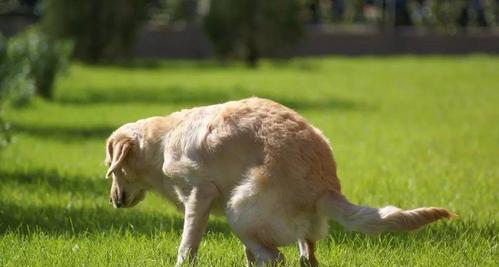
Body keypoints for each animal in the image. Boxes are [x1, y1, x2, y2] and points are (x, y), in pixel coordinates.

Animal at [105, 97, 458, 266]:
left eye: (112, 167)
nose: (113, 201)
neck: (162, 142)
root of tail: (326, 185)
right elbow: (246, 256)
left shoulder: (200, 196)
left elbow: (186, 247)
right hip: (272, 223)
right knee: (304, 256)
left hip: (239, 210)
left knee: (276, 258)